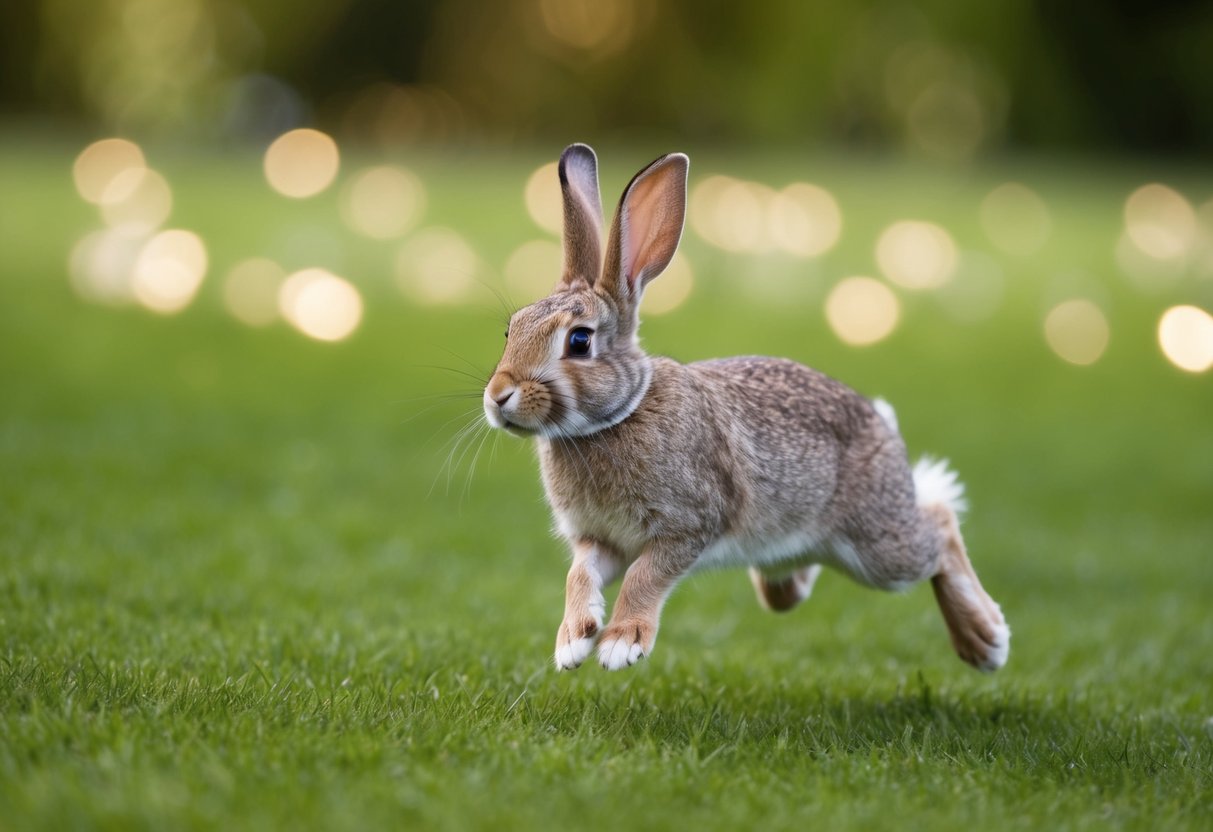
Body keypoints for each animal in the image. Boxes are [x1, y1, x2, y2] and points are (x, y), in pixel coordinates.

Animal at [483, 143, 1010, 673]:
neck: (616, 416)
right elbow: (579, 575)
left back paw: (986, 640)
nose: (498, 396)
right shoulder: (600, 540)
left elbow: (645, 577)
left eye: (579, 341)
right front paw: (573, 640)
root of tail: (883, 423)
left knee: (940, 525)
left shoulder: (689, 525)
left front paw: (621, 643)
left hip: (879, 546)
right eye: (511, 329)